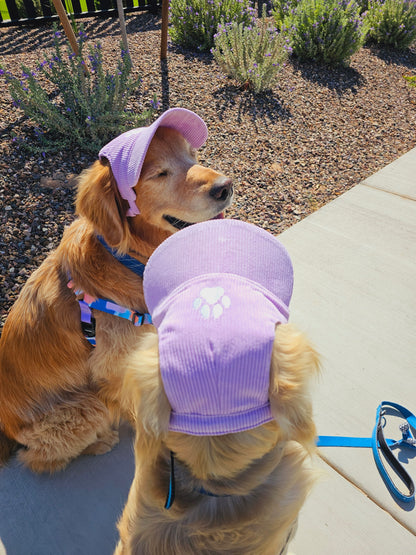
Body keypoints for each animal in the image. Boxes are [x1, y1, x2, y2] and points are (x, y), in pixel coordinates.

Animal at [0, 106, 234, 472]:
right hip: (83, 409)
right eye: (160, 174)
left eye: (192, 155)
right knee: (41, 458)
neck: (132, 261)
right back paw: (100, 442)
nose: (225, 187)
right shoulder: (115, 369)